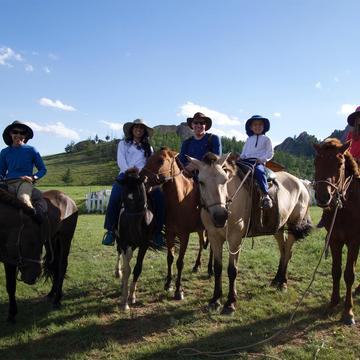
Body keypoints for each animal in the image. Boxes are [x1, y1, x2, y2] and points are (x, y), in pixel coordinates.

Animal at [0, 188, 78, 324]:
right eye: (31, 243)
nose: (34, 276)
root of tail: (67, 198)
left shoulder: (10, 260)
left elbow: (11, 286)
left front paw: (12, 314)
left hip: (65, 238)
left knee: (62, 266)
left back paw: (57, 299)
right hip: (53, 239)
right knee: (55, 265)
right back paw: (52, 293)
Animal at [114, 170, 155, 310]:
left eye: (139, 196)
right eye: (123, 197)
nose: (132, 228)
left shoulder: (144, 245)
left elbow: (137, 268)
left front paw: (132, 295)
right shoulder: (125, 243)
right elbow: (127, 269)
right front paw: (124, 300)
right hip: (120, 241)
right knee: (120, 255)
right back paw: (118, 273)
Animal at [142, 148, 212, 300]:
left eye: (160, 160)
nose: (141, 178)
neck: (179, 200)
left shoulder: (184, 235)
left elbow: (180, 262)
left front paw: (178, 290)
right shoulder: (170, 233)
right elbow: (170, 258)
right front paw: (168, 284)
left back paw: (211, 269)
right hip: (200, 229)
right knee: (201, 244)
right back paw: (197, 265)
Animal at [188, 153, 312, 314]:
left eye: (225, 180)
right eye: (201, 182)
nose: (221, 216)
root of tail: (301, 183)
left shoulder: (235, 239)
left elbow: (232, 270)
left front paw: (230, 303)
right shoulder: (214, 237)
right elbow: (218, 268)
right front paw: (215, 300)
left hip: (293, 225)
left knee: (288, 252)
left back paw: (283, 283)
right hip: (278, 227)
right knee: (284, 250)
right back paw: (276, 280)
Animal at [312, 139, 360, 324]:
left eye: (340, 164)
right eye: (316, 162)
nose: (323, 196)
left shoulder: (354, 241)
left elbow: (349, 274)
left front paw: (348, 312)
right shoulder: (334, 239)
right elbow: (336, 271)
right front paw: (333, 303)